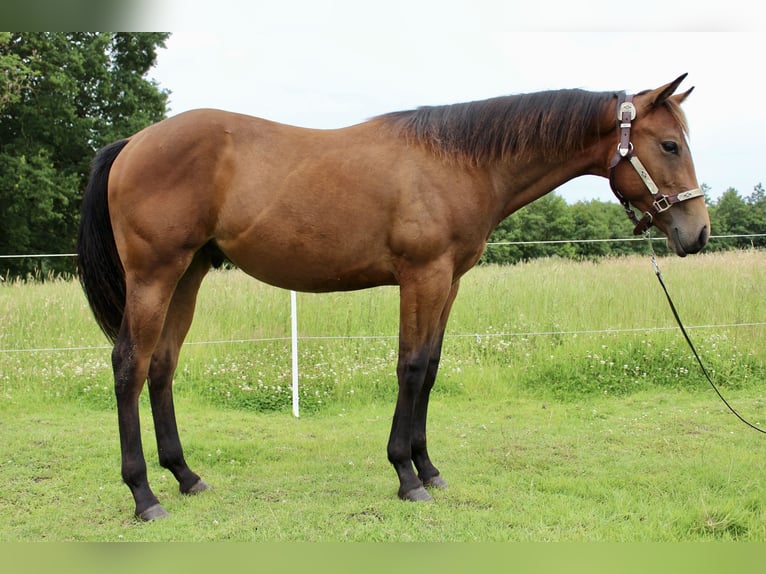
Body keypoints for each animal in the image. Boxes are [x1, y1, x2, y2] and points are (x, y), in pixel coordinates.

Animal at [76, 74, 710, 520]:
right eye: (669, 144)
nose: (697, 233)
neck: (457, 162)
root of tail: (133, 142)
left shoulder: (449, 281)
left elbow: (429, 368)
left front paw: (428, 469)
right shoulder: (422, 277)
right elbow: (409, 367)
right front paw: (406, 477)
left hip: (187, 275)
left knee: (162, 366)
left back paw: (185, 476)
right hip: (155, 275)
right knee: (129, 366)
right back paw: (144, 495)